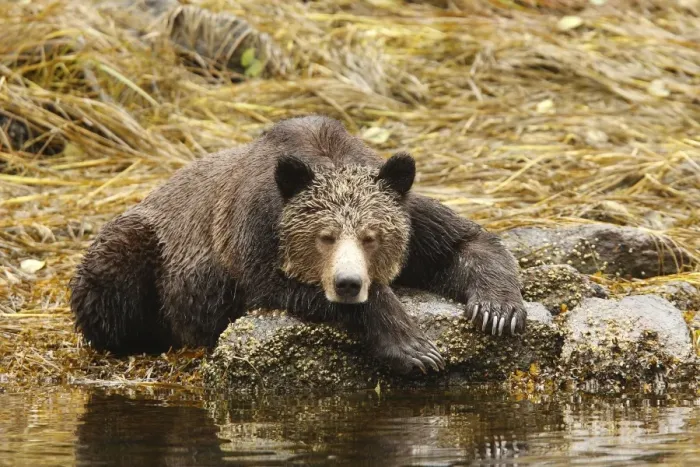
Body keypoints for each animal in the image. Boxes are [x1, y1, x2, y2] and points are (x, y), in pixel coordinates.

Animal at [69, 115, 526, 375]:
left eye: (371, 236)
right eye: (324, 237)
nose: (348, 283)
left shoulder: (410, 215)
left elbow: (464, 241)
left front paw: (497, 311)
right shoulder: (255, 232)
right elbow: (271, 285)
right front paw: (414, 349)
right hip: (148, 247)